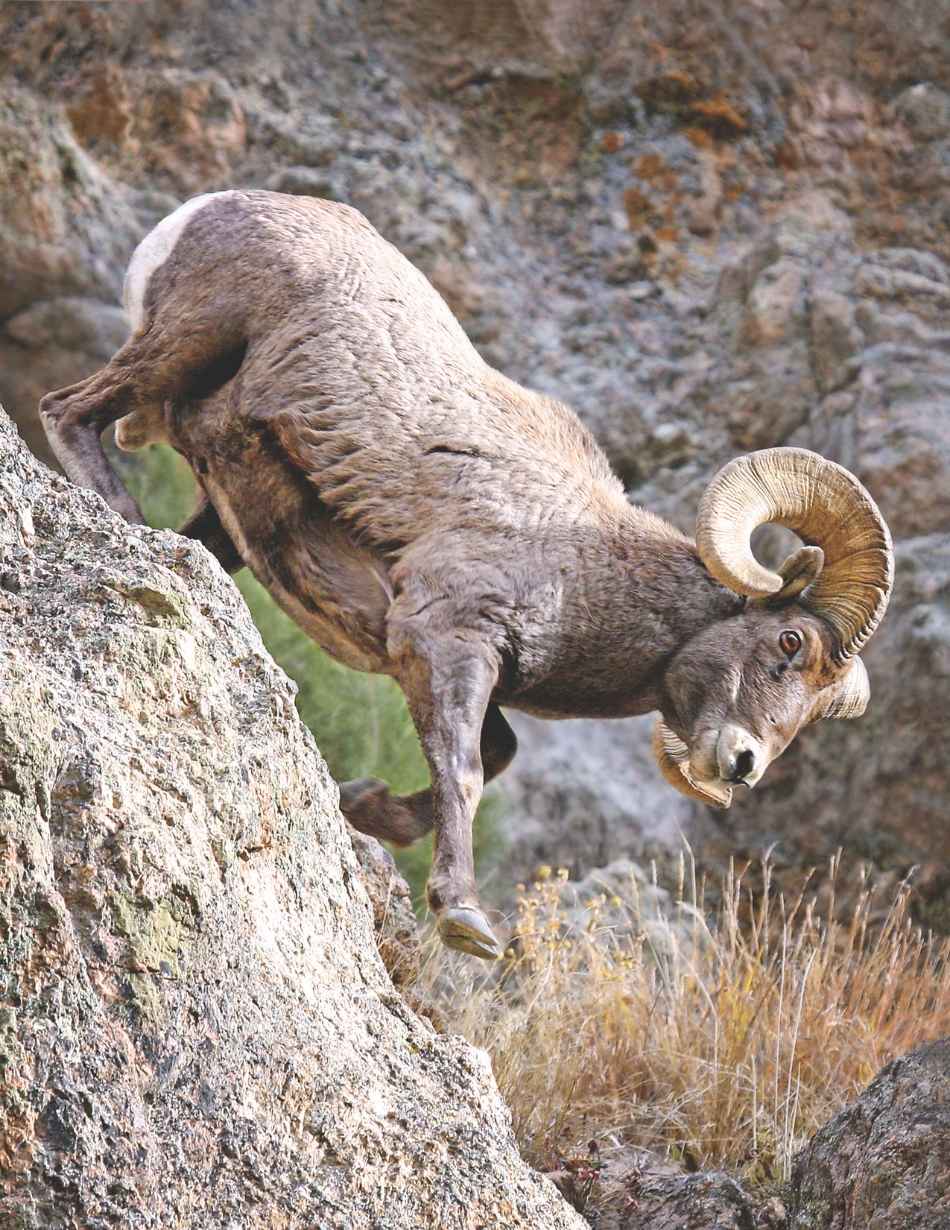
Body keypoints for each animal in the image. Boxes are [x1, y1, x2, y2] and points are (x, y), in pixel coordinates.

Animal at [40, 189, 894, 960]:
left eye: (820, 706)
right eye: (788, 644)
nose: (745, 767)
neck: (587, 566)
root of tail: (203, 211)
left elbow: (495, 754)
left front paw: (366, 805)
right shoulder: (447, 640)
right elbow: (467, 771)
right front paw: (464, 919)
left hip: (230, 521)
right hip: (188, 340)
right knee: (67, 408)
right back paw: (116, 511)